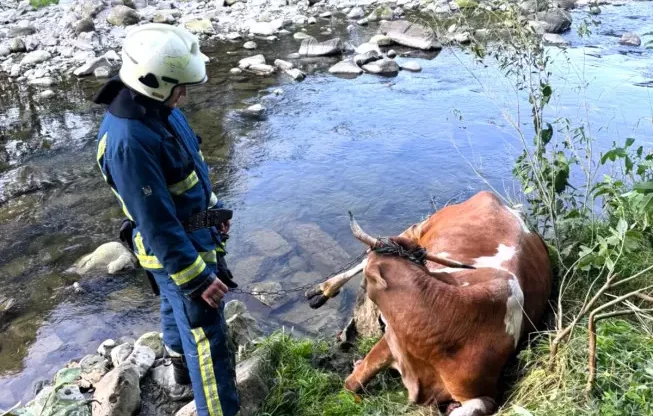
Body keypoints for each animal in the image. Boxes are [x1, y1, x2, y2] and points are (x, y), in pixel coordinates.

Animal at [305, 191, 552, 415]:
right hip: (418, 229)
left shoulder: (485, 396)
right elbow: (352, 382)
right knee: (367, 255)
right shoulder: (391, 340)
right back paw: (323, 290)